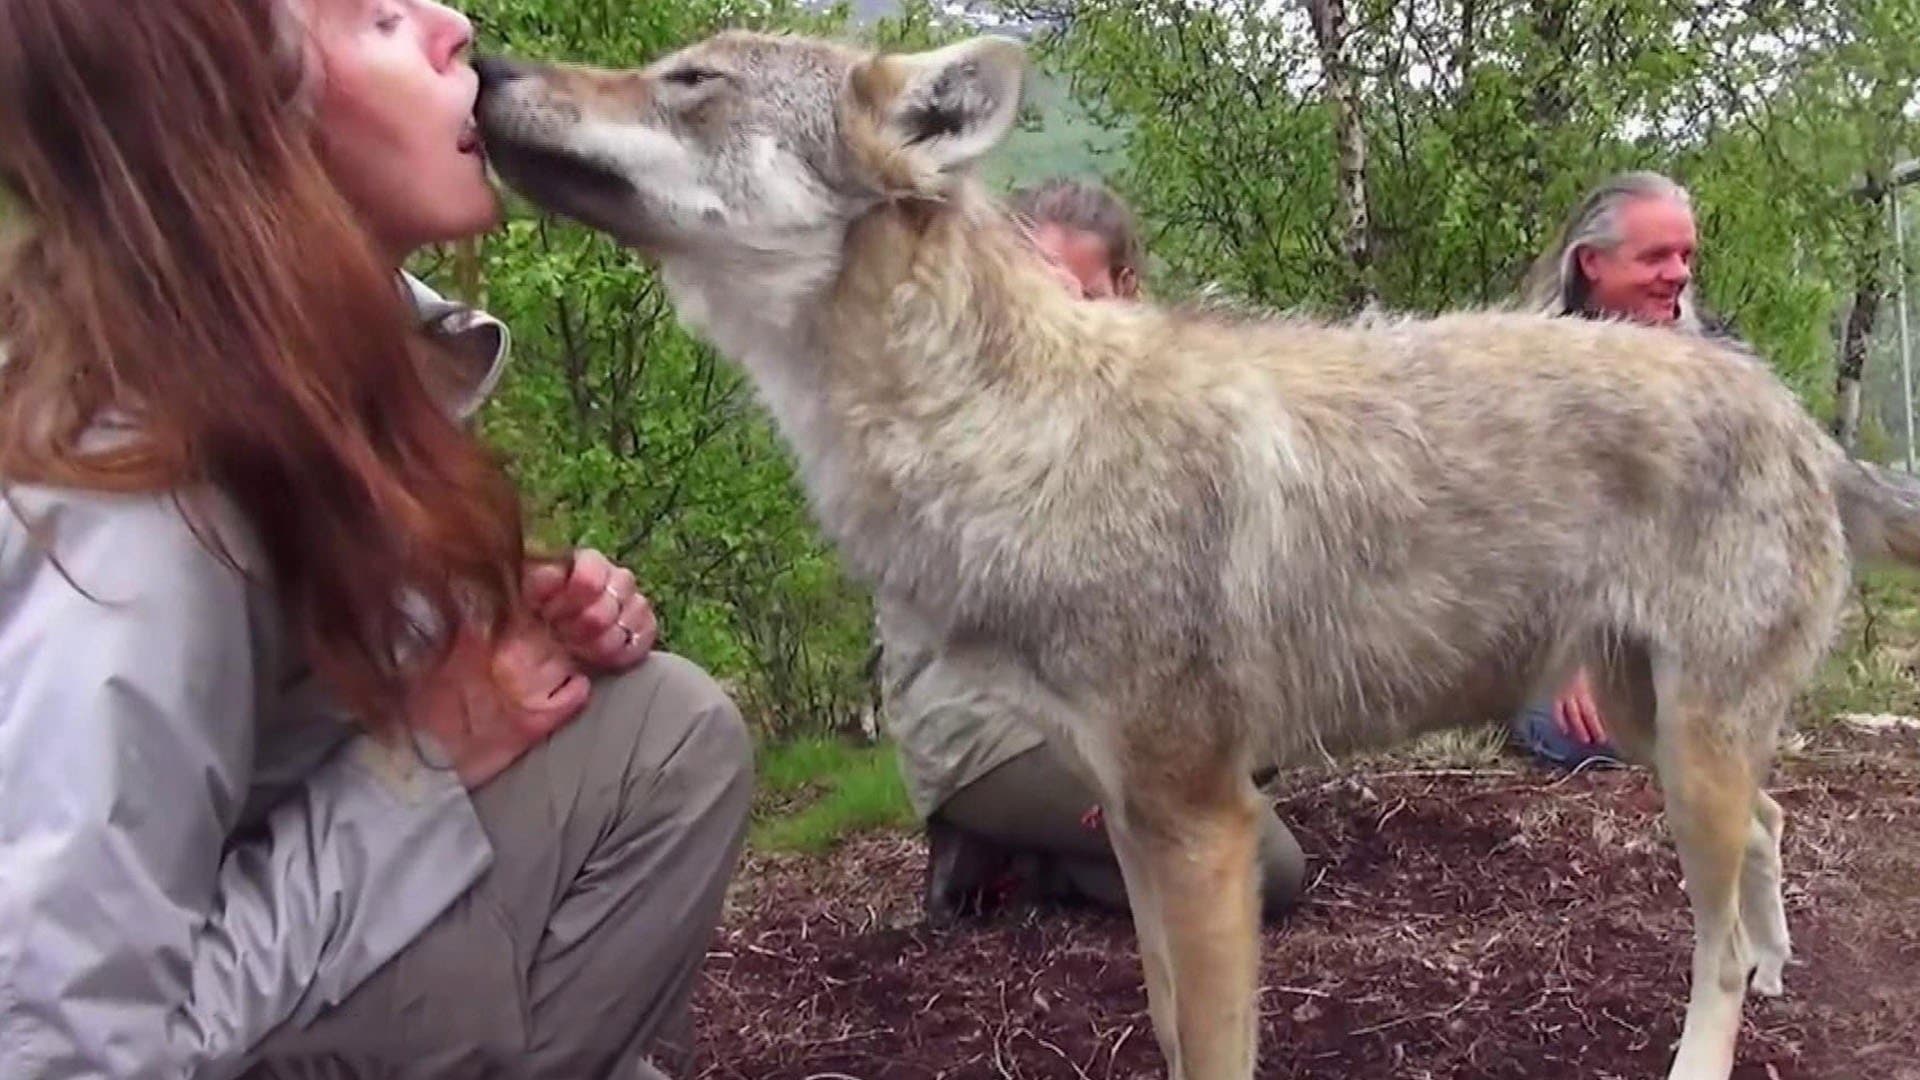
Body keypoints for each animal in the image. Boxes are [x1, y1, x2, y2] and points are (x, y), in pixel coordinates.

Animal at [472, 29, 1920, 1068]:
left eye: (689, 81)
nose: (482, 63)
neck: (1018, 432)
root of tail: (1790, 407)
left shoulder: (1206, 824)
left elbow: (1211, 1048)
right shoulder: (1133, 818)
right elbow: (1168, 1025)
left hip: (1681, 743)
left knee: (1715, 935)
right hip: (1645, 724)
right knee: (1770, 834)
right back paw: (1779, 960)